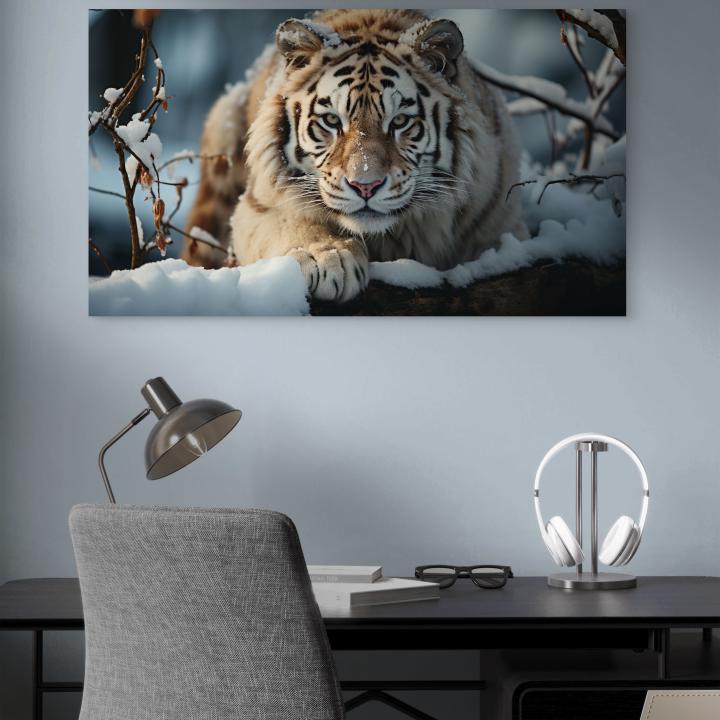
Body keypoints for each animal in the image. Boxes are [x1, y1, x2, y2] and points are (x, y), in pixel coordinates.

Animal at [182, 9, 527, 303]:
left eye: (399, 122)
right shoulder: (256, 207)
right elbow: (291, 223)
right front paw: (328, 259)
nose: (365, 186)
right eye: (331, 121)